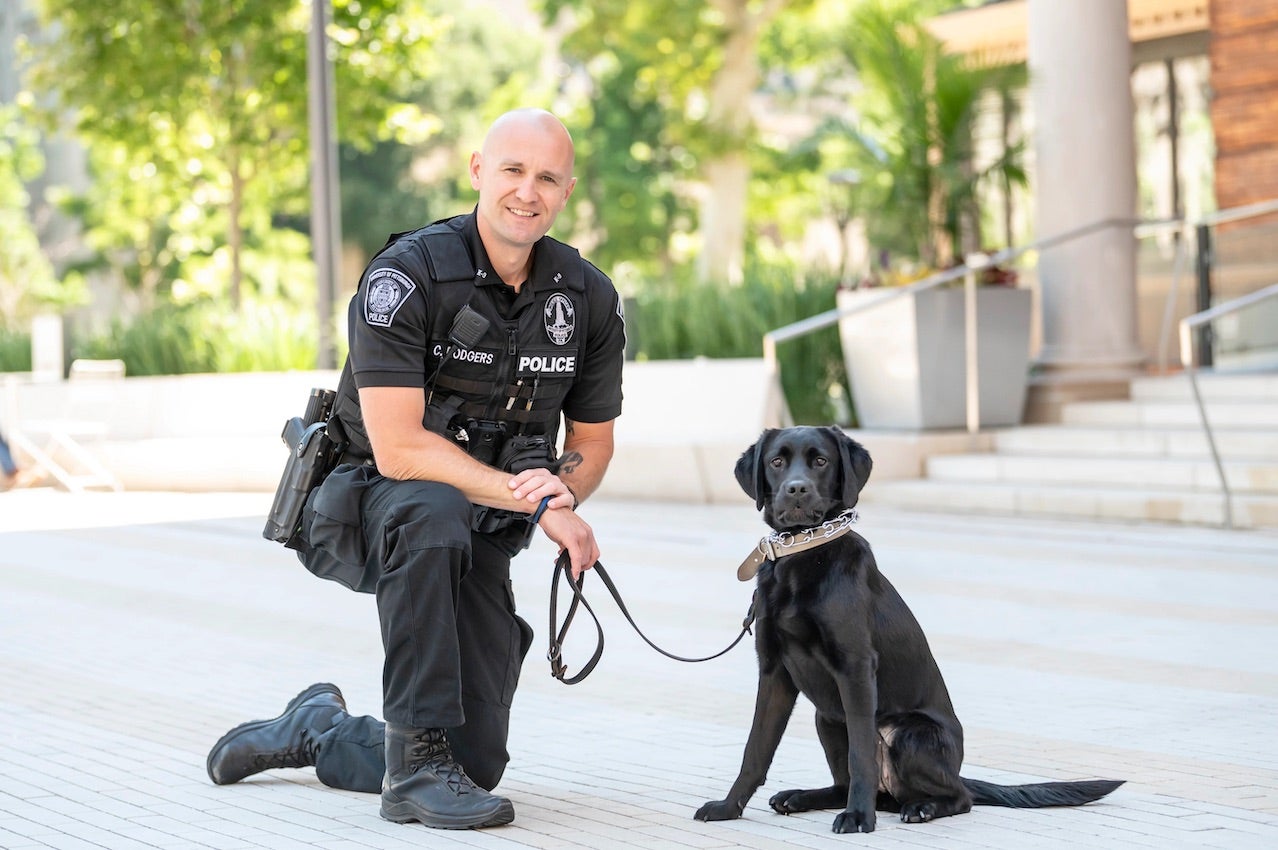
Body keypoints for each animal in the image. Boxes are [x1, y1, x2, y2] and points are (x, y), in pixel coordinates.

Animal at [695, 424, 1124, 828]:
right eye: (776, 462)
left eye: (820, 461)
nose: (796, 489)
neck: (803, 553)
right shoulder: (774, 671)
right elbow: (755, 749)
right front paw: (728, 808)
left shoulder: (855, 667)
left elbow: (861, 756)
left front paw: (859, 819)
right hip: (827, 718)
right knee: (845, 783)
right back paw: (802, 797)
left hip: (909, 733)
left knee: (958, 797)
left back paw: (919, 808)